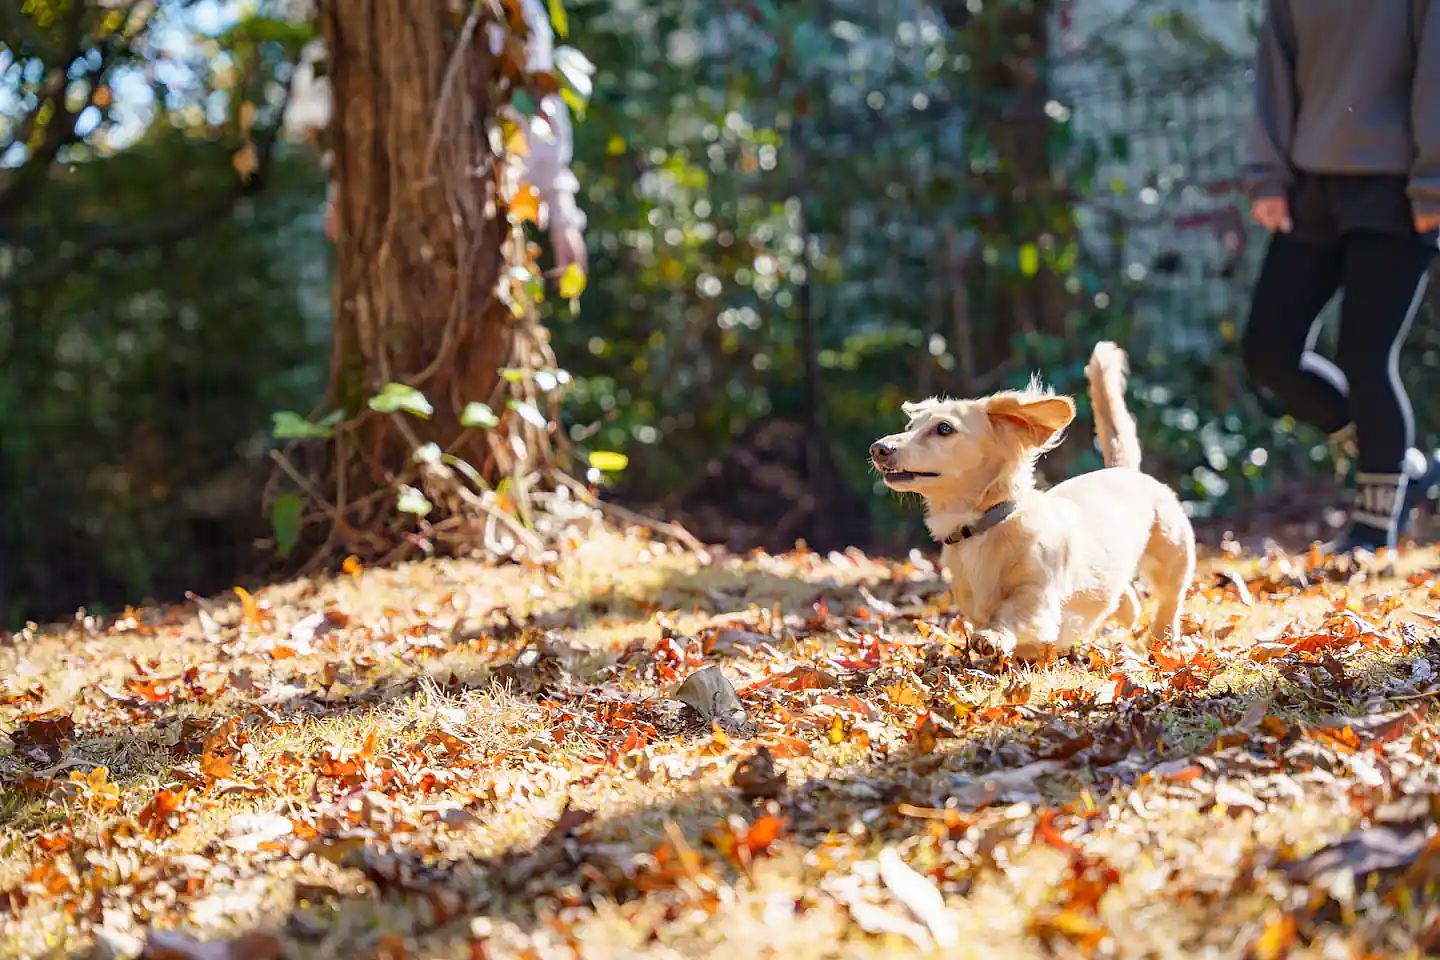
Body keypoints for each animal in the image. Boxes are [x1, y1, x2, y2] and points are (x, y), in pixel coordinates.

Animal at [875, 341, 1192, 664]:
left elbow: (1012, 613)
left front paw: (992, 637)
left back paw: (1162, 639)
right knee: (1125, 602)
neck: (984, 526)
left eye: (944, 429)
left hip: (1171, 560)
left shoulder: (1037, 596)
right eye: (910, 425)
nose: (878, 449)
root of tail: (1125, 471)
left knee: (1169, 600)